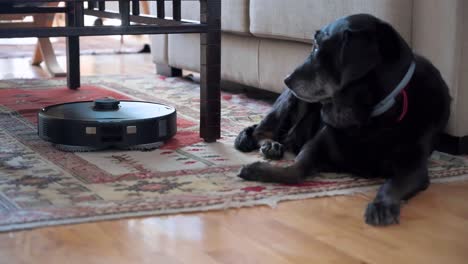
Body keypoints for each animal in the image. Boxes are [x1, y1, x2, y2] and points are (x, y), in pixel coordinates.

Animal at [236, 13, 452, 226]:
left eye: (317, 47)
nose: (286, 79)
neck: (368, 114)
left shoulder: (413, 166)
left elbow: (392, 184)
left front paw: (382, 204)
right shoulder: (316, 145)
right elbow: (295, 169)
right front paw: (260, 170)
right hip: (292, 102)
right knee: (262, 131)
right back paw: (271, 145)